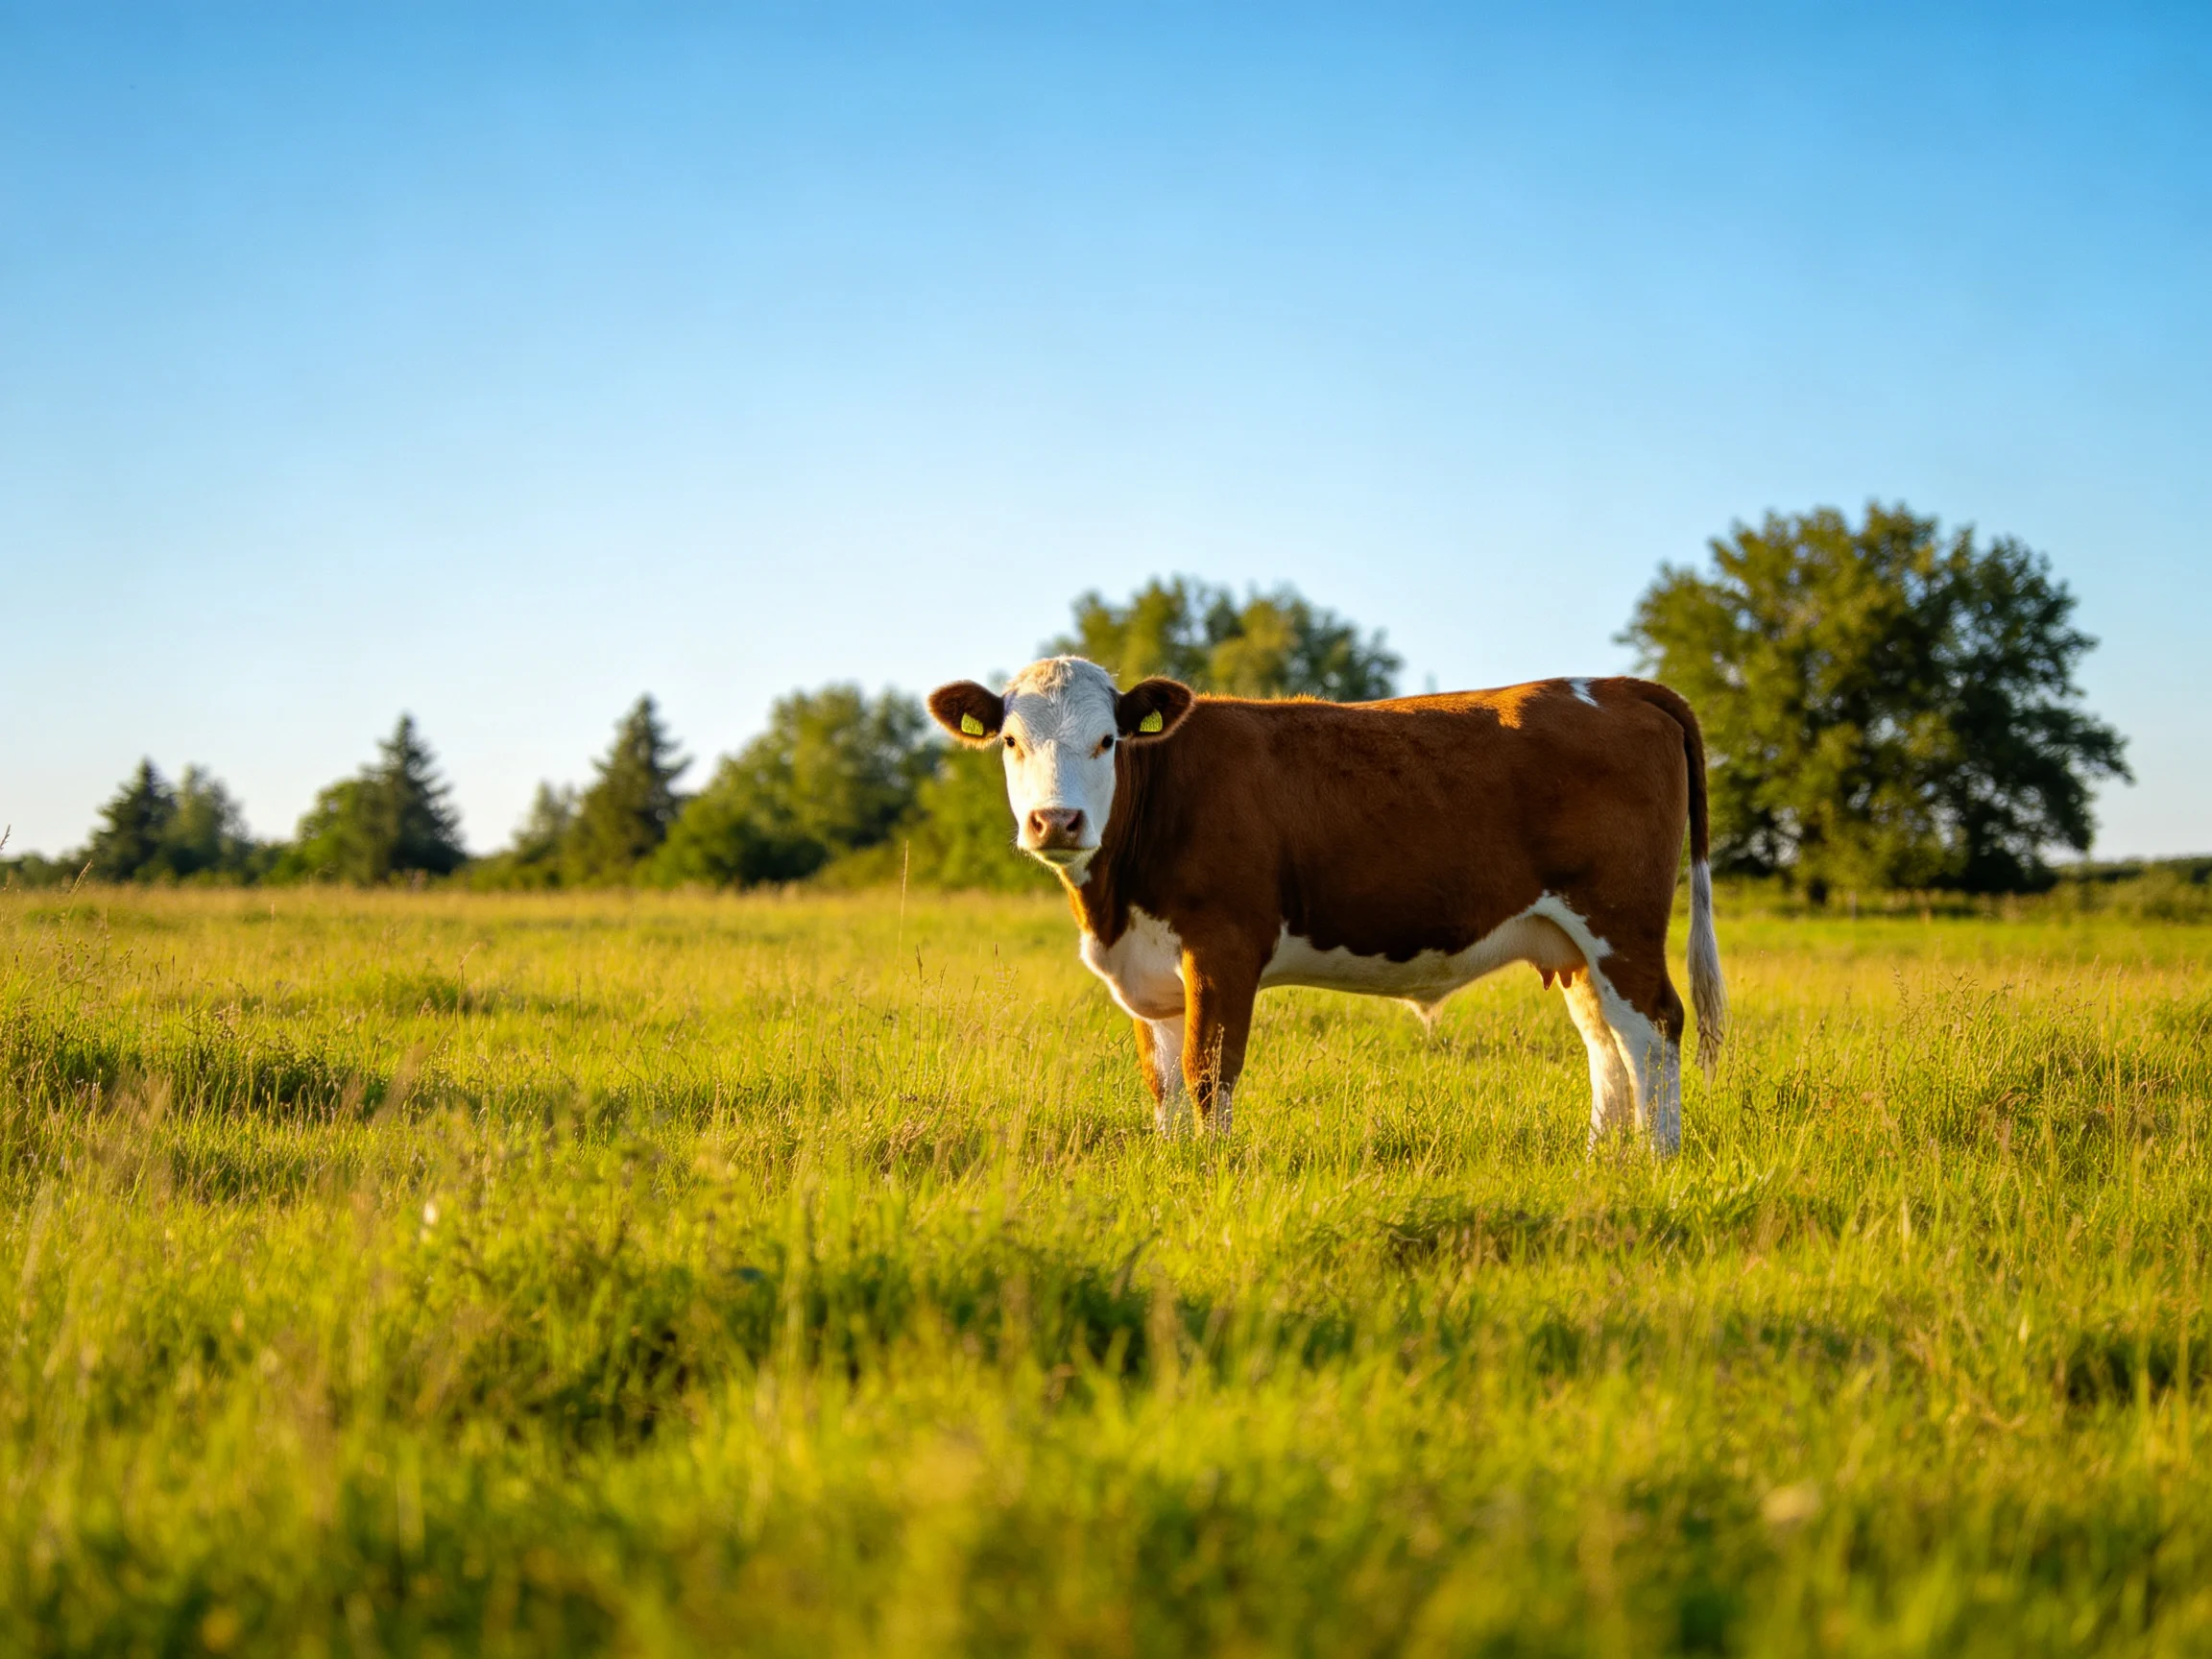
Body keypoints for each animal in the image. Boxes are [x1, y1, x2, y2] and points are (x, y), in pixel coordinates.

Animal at [926, 657, 1726, 1153]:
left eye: (1107, 740)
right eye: (1009, 740)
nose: (1056, 822)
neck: (1115, 908)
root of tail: (1615, 685)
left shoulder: (1223, 948)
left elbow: (1208, 1072)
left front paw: (1208, 1173)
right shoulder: (1148, 976)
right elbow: (1164, 1084)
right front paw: (1173, 1163)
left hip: (1620, 922)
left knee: (1655, 1030)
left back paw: (1656, 1162)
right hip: (1571, 943)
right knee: (1606, 1040)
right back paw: (1601, 1162)